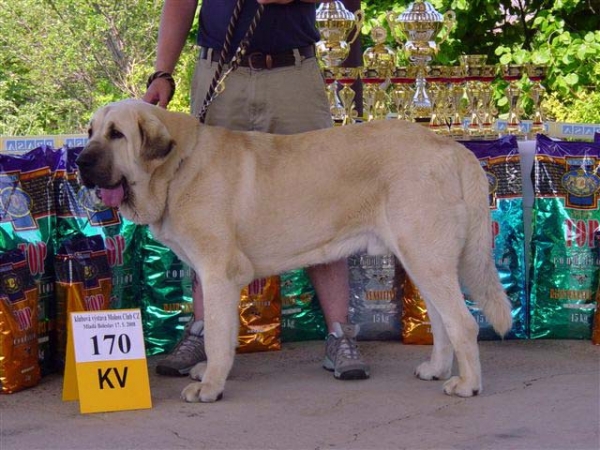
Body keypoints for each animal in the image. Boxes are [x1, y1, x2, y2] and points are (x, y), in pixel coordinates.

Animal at [76, 100, 510, 402]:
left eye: (117, 134)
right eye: (91, 131)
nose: (79, 161)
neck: (178, 165)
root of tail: (452, 148)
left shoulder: (219, 273)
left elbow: (216, 335)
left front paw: (211, 386)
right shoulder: (213, 277)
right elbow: (220, 333)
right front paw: (210, 372)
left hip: (426, 256)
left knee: (463, 323)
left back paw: (467, 384)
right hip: (420, 259)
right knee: (441, 321)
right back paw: (436, 369)